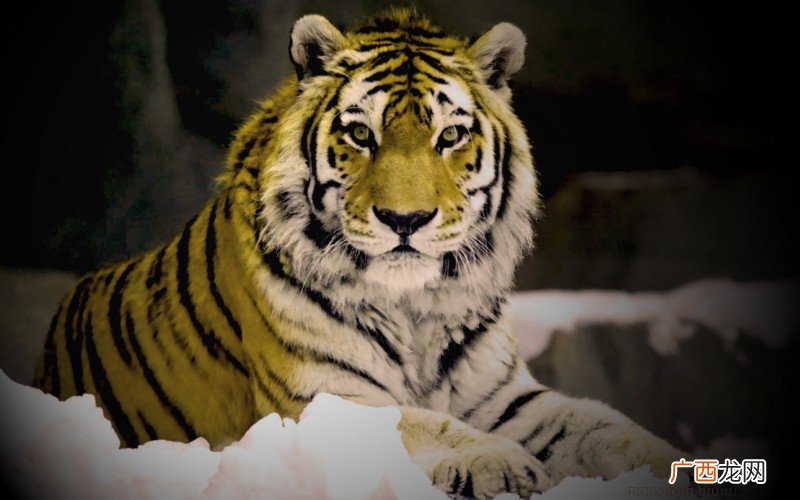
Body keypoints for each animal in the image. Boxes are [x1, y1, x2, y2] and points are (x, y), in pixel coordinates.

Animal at [34, 9, 681, 498]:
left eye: (450, 135)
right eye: (361, 135)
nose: (405, 220)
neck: (416, 308)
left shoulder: (507, 399)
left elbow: (604, 425)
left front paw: (671, 465)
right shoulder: (323, 398)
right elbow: (424, 421)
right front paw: (502, 465)